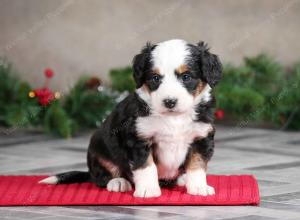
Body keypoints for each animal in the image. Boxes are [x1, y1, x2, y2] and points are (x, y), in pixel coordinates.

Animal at [39, 39, 223, 198]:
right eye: (155, 78)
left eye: (186, 77)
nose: (169, 102)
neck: (173, 118)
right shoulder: (138, 138)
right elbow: (146, 166)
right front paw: (148, 190)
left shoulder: (201, 137)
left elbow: (197, 165)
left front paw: (198, 187)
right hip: (98, 149)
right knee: (102, 176)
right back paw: (118, 182)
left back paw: (181, 179)